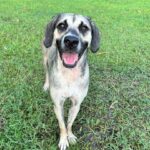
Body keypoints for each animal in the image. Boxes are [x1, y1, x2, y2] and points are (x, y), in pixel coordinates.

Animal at [41, 13, 100, 149]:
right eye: (62, 25)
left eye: (84, 27)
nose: (71, 41)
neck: (69, 74)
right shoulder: (58, 104)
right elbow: (62, 124)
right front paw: (63, 140)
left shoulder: (76, 104)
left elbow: (69, 123)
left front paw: (70, 136)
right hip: (45, 58)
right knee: (47, 72)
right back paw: (46, 85)